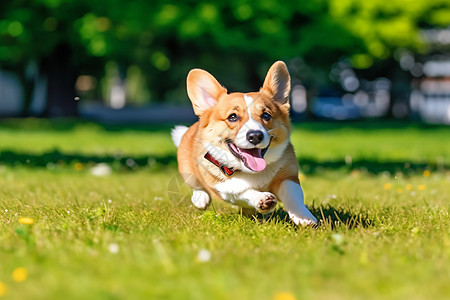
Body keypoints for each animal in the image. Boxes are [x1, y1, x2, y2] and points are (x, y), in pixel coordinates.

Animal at [171, 61, 316, 225]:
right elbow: (244, 191)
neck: (251, 171)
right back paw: (200, 199)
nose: (255, 136)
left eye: (266, 115)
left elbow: (293, 195)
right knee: (196, 185)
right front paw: (262, 199)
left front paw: (304, 217)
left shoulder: (287, 177)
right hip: (188, 170)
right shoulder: (226, 188)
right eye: (233, 117)